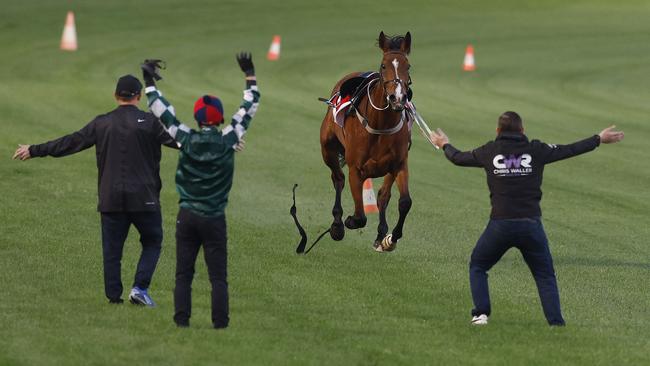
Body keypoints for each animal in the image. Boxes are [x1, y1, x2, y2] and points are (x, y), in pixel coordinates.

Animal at [318, 31, 410, 253]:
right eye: (384, 65)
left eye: (408, 66)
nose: (398, 98)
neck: (381, 124)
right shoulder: (356, 169)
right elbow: (360, 216)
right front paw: (347, 222)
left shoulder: (399, 163)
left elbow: (404, 202)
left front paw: (391, 238)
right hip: (327, 148)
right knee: (338, 178)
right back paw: (337, 224)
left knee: (384, 196)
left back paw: (381, 235)